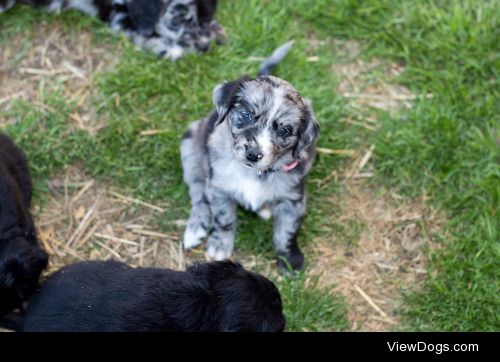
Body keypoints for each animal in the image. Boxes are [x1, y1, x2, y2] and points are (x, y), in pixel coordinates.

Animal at [0, 0, 223, 60]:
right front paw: (169, 49)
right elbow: (142, 34)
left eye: (202, 17)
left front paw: (215, 30)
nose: (205, 47)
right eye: (176, 20)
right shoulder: (118, 18)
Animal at [183, 41, 320, 270]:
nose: (253, 154)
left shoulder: (293, 198)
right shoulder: (219, 188)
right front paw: (220, 245)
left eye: (284, 130)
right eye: (246, 115)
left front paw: (289, 259)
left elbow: (288, 230)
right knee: (198, 194)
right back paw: (195, 228)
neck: (254, 173)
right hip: (190, 150)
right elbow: (224, 220)